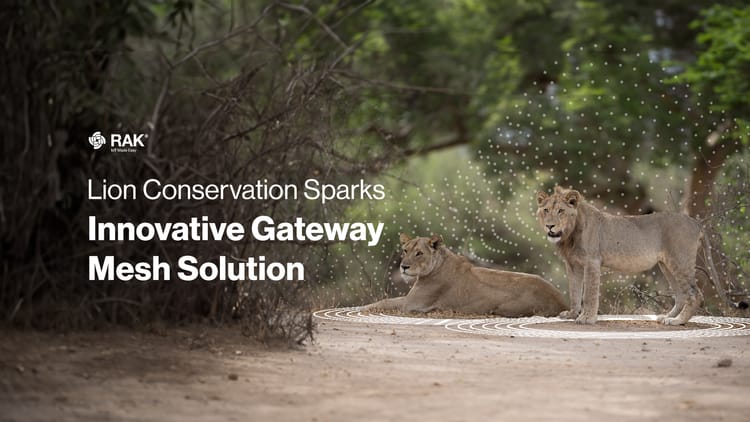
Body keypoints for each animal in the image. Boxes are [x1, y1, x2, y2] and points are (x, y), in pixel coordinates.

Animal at [363, 234, 567, 317]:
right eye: (405, 250)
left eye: (419, 253)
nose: (404, 267)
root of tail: (562, 301)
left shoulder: (411, 304)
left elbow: (385, 302)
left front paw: (363, 308)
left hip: (504, 307)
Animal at [536, 185, 740, 325]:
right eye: (546, 210)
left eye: (561, 211)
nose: (550, 226)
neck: (569, 235)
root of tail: (695, 222)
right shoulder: (573, 265)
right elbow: (574, 291)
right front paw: (571, 314)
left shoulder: (592, 262)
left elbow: (590, 294)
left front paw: (587, 318)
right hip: (666, 265)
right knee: (681, 294)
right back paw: (667, 317)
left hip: (680, 261)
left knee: (694, 293)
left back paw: (677, 321)